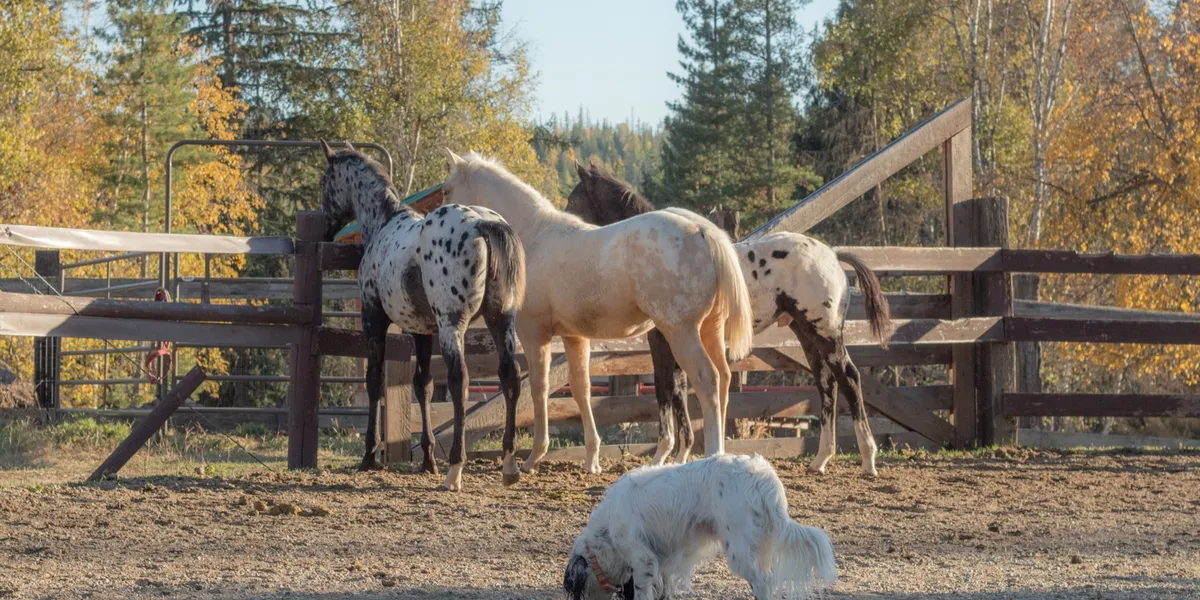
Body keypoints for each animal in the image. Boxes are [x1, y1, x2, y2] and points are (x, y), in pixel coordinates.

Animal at [319, 141, 526, 491]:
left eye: (325, 182)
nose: (325, 228)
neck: (384, 225)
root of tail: (483, 224)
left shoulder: (374, 321)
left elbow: (374, 382)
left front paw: (369, 456)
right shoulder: (422, 331)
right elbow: (423, 385)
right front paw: (427, 459)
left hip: (452, 324)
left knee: (459, 381)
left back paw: (455, 469)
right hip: (502, 321)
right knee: (509, 375)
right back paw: (509, 465)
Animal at [442, 151, 753, 479]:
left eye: (446, 190)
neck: (534, 237)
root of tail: (703, 231)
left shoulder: (534, 334)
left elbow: (539, 388)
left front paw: (534, 457)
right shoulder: (574, 337)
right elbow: (582, 388)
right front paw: (592, 459)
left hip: (681, 332)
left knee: (707, 380)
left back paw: (711, 454)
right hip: (709, 330)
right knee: (724, 377)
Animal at [566, 163, 892, 477]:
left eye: (573, 199)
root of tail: (834, 256)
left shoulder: (664, 338)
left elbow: (665, 388)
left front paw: (661, 456)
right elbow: (680, 389)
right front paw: (682, 455)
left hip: (824, 332)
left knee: (849, 378)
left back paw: (868, 459)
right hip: (805, 333)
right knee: (827, 384)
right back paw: (821, 459)